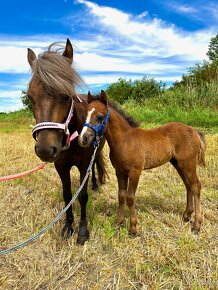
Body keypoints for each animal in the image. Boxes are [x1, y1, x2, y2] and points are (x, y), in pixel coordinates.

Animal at [26, 39, 106, 245]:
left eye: (66, 95)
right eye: (30, 96)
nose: (45, 149)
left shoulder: (84, 164)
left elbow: (82, 196)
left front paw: (83, 231)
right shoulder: (61, 167)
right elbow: (67, 195)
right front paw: (68, 226)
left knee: (95, 166)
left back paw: (95, 184)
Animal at [78, 92, 206, 234]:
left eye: (100, 116)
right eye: (85, 114)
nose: (83, 139)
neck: (125, 140)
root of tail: (194, 131)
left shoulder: (135, 171)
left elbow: (130, 197)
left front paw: (133, 228)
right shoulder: (120, 172)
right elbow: (121, 195)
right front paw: (118, 222)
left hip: (188, 163)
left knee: (196, 186)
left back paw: (197, 225)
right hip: (178, 164)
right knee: (188, 185)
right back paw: (187, 215)